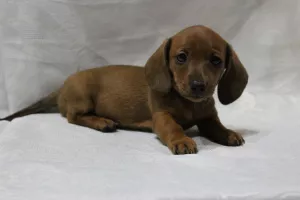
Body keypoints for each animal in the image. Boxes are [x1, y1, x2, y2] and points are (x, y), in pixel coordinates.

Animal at [0, 25, 248, 155]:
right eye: (181, 57)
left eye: (216, 60)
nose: (198, 86)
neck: (189, 103)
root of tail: (61, 88)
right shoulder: (161, 117)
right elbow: (173, 127)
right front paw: (181, 140)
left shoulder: (208, 119)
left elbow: (217, 127)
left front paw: (229, 133)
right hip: (83, 96)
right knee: (73, 116)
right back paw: (102, 122)